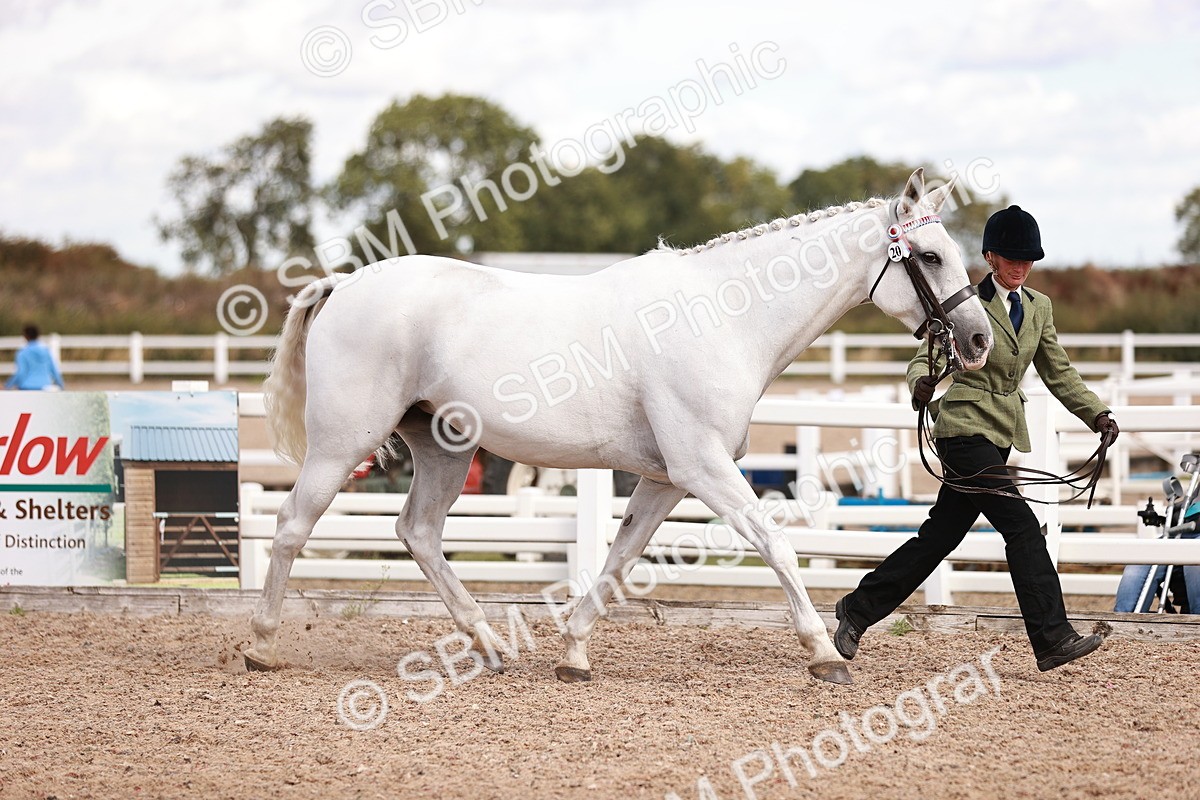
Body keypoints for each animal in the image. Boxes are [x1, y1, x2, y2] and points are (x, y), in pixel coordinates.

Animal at [245, 168, 994, 685]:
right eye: (929, 255)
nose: (980, 340)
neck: (722, 317)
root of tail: (342, 284)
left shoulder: (667, 479)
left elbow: (618, 559)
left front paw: (574, 653)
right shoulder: (703, 466)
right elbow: (775, 544)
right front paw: (823, 653)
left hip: (442, 449)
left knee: (419, 532)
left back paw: (487, 645)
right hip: (343, 443)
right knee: (291, 526)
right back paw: (261, 644)